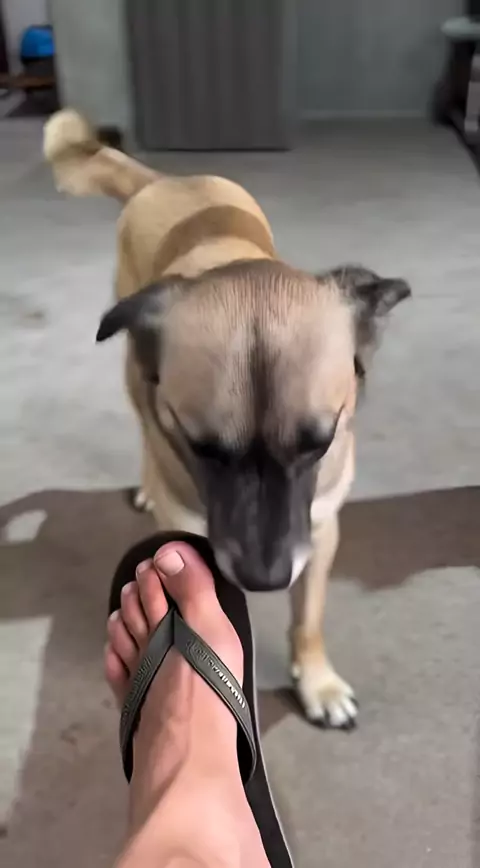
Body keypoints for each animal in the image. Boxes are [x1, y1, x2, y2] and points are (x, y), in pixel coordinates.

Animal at [44, 110, 411, 728]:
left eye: (319, 443)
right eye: (203, 447)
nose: (265, 579)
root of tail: (163, 181)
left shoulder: (320, 529)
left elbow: (307, 616)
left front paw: (317, 680)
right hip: (133, 372)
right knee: (142, 422)